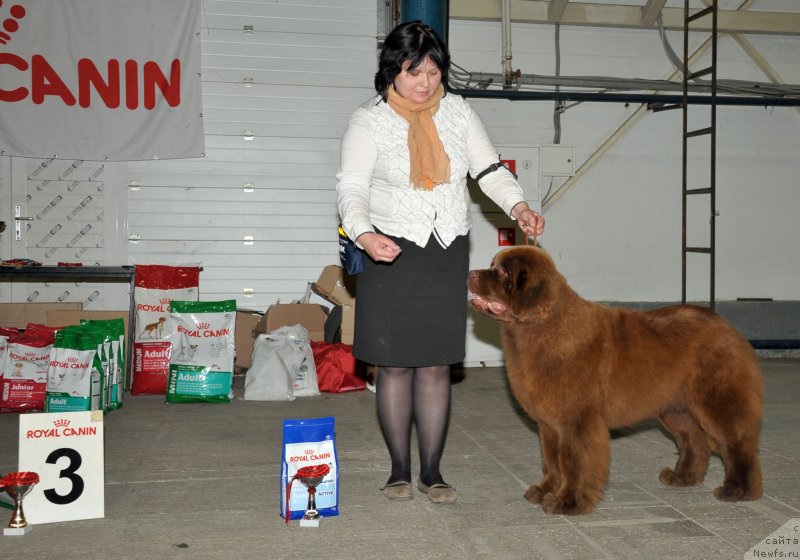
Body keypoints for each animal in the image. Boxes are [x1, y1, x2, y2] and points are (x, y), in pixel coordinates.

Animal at [468, 246, 764, 516]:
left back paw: (738, 490)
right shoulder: (549, 425)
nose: (471, 273)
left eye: (503, 272)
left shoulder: (577, 421)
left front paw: (567, 502)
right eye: (492, 265)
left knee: (737, 445)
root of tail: (726, 326)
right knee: (694, 440)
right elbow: (551, 461)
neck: (540, 328)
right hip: (676, 409)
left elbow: (573, 461)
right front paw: (544, 491)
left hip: (717, 401)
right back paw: (683, 478)